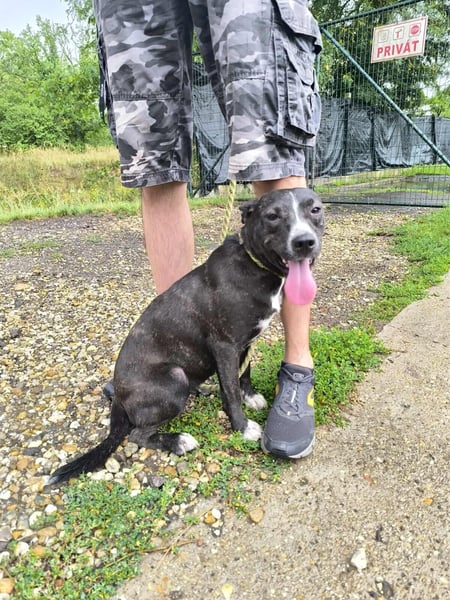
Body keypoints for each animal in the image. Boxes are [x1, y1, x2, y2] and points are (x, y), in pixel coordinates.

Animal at [48, 188, 324, 485]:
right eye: (272, 216)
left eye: (315, 209)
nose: (304, 242)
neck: (254, 263)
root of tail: (119, 397)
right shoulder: (225, 346)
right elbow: (231, 391)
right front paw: (242, 426)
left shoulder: (244, 343)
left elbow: (244, 373)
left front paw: (250, 397)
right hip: (174, 378)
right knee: (136, 435)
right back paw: (179, 441)